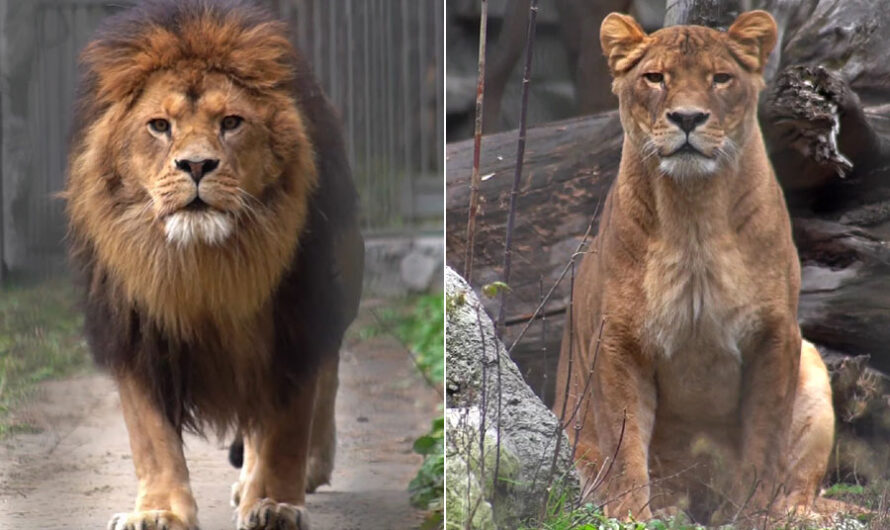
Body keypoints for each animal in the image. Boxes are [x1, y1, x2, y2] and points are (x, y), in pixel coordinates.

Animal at [63, 2, 360, 524]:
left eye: (232, 122)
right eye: (160, 125)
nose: (197, 165)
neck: (201, 264)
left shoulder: (296, 321)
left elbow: (286, 428)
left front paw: (276, 504)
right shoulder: (134, 331)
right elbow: (152, 438)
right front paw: (158, 513)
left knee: (321, 382)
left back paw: (301, 471)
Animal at [552, 10, 836, 520]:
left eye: (720, 79)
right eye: (655, 78)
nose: (687, 118)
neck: (694, 216)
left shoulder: (776, 336)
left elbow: (765, 439)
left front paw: (753, 515)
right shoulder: (618, 341)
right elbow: (625, 443)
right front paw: (633, 516)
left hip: (815, 369)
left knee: (802, 482)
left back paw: (791, 512)